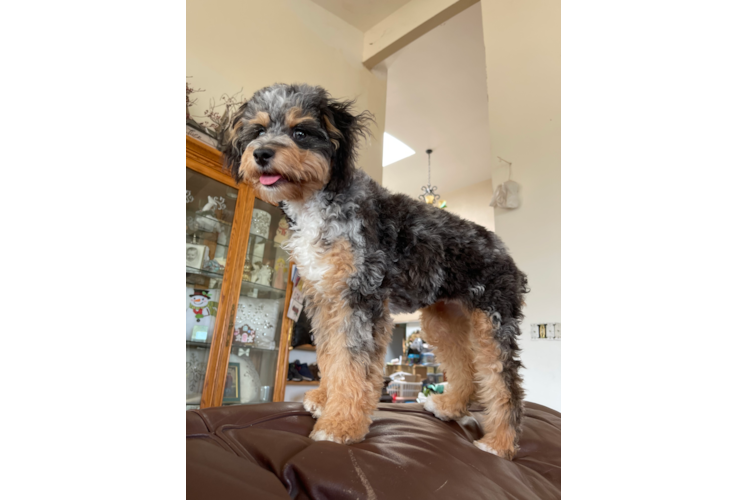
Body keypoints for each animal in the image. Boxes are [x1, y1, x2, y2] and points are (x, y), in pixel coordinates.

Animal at [219, 84, 528, 458]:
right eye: (258, 131)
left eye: (301, 132)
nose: (262, 153)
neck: (319, 201)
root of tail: (505, 253)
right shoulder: (327, 300)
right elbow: (332, 357)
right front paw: (325, 400)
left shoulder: (361, 298)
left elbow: (353, 366)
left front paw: (340, 425)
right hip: (443, 321)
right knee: (466, 368)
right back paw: (449, 406)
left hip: (493, 323)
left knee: (505, 384)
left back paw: (500, 443)